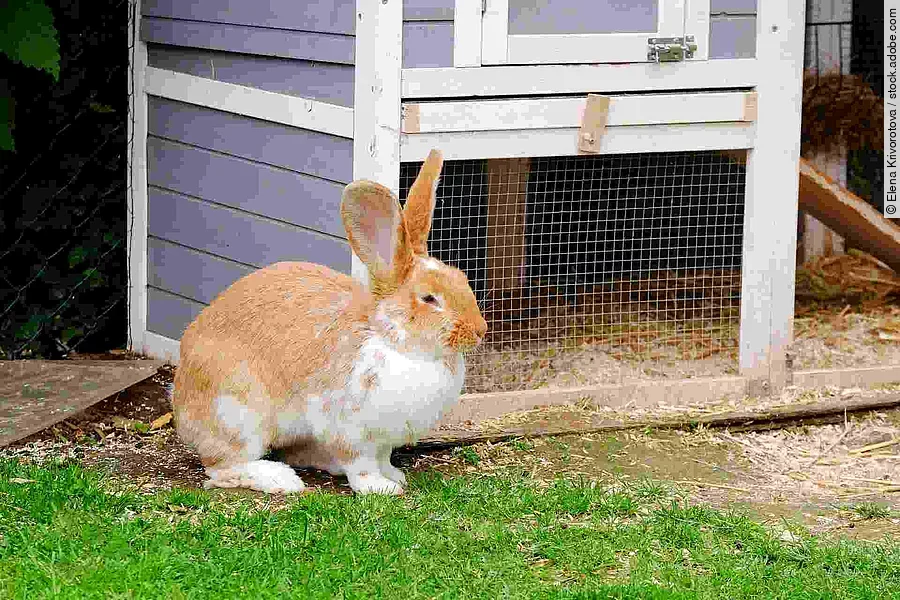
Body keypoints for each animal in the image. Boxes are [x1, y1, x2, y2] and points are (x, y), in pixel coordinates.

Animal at [171, 149, 488, 496]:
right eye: (429, 299)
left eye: (462, 278)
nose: (480, 330)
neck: (394, 341)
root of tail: (181, 404)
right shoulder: (350, 429)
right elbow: (361, 464)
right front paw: (381, 488)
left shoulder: (383, 440)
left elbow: (383, 458)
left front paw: (394, 476)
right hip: (237, 414)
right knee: (221, 467)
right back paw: (280, 479)